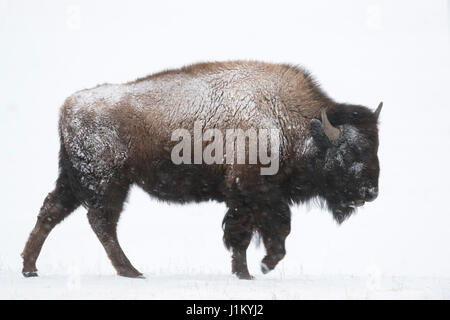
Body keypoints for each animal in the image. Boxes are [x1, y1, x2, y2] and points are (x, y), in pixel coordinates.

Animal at [21, 61, 382, 278]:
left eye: (375, 149)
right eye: (349, 151)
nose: (370, 192)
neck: (289, 121)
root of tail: (69, 105)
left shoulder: (245, 198)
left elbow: (244, 235)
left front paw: (244, 273)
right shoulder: (255, 192)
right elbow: (272, 231)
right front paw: (263, 267)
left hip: (76, 179)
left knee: (52, 211)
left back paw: (29, 268)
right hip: (107, 182)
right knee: (101, 222)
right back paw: (131, 272)